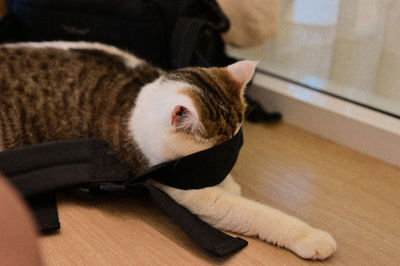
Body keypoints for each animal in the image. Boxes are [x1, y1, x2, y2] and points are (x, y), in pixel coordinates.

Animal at [0, 41, 338, 260]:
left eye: (235, 139)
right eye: (213, 151)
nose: (226, 165)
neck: (139, 99)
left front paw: (230, 182)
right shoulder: (184, 187)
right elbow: (255, 213)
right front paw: (311, 237)